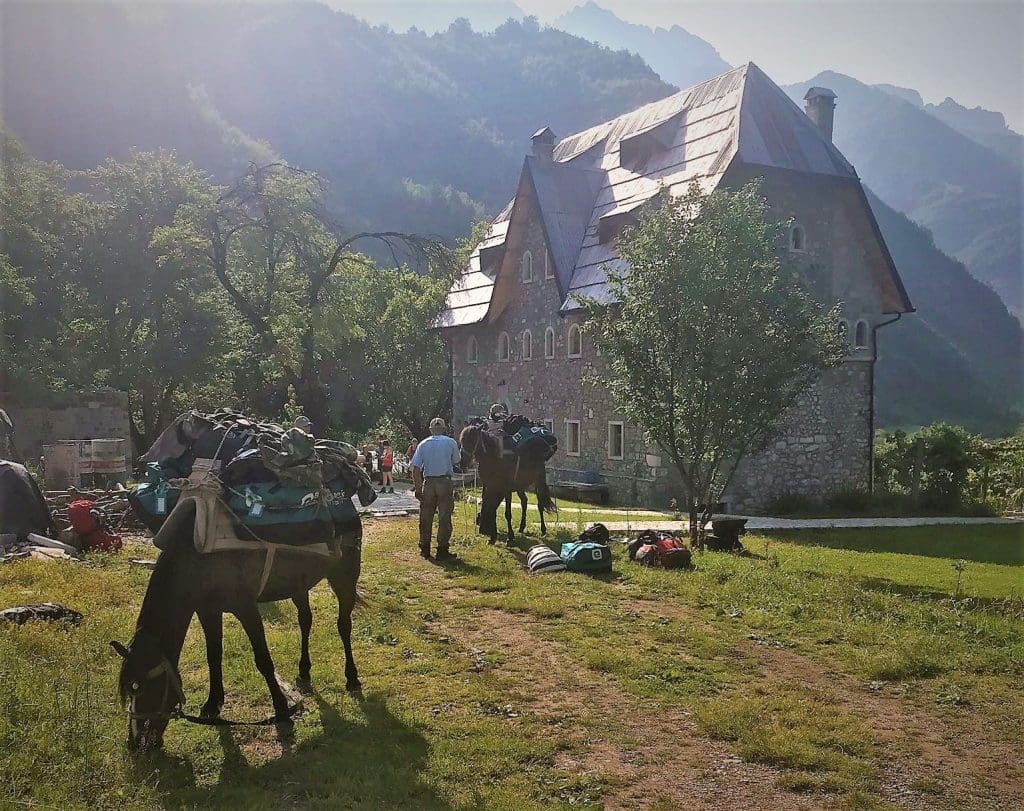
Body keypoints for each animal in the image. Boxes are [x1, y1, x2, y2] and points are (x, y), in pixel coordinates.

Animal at [111, 507, 360, 753]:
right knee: (305, 620)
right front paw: (213, 704)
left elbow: (264, 661)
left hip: (344, 577)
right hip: (298, 585)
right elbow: (213, 656)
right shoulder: (208, 611)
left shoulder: (247, 609)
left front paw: (281, 709)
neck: (200, 560)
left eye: (138, 687)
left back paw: (352, 678)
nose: (134, 743)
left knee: (344, 625)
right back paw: (304, 670)